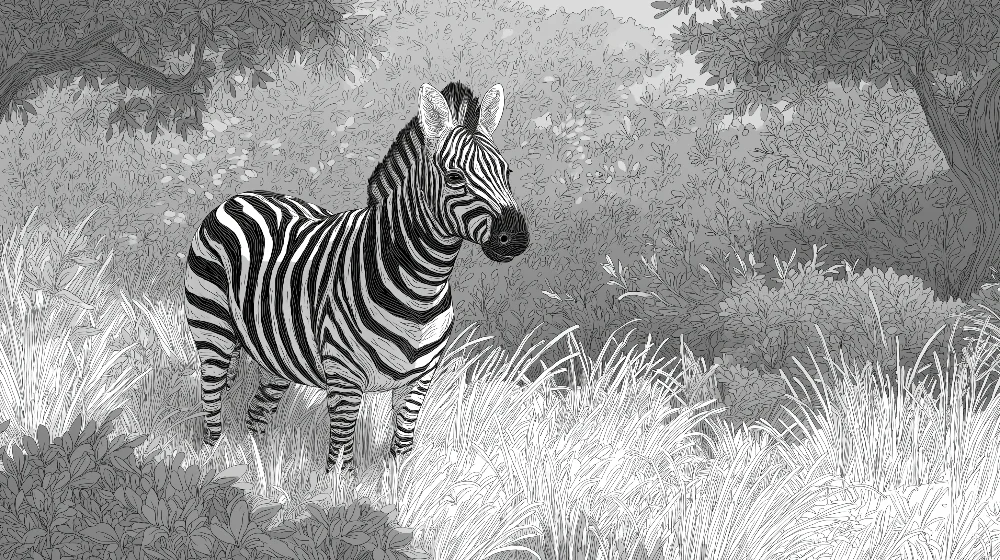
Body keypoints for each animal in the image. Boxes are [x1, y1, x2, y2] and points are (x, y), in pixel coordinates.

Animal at [184, 81, 528, 474]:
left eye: (507, 173)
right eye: (455, 177)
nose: (517, 237)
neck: (421, 288)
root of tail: (242, 196)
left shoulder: (419, 380)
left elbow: (402, 449)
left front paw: (399, 486)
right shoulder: (344, 377)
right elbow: (341, 459)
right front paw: (338, 487)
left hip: (278, 352)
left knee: (257, 415)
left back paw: (262, 466)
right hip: (212, 328)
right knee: (213, 404)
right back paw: (218, 460)